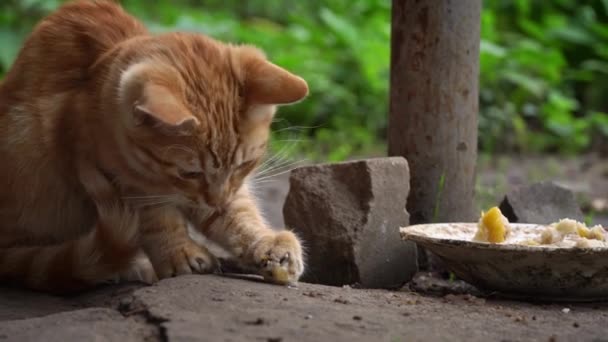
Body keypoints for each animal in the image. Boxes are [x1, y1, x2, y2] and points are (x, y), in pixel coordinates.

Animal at [0, 0, 306, 294]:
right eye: (190, 173)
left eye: (244, 165)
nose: (216, 201)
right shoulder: (123, 179)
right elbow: (156, 217)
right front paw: (179, 252)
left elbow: (239, 214)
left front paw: (268, 244)